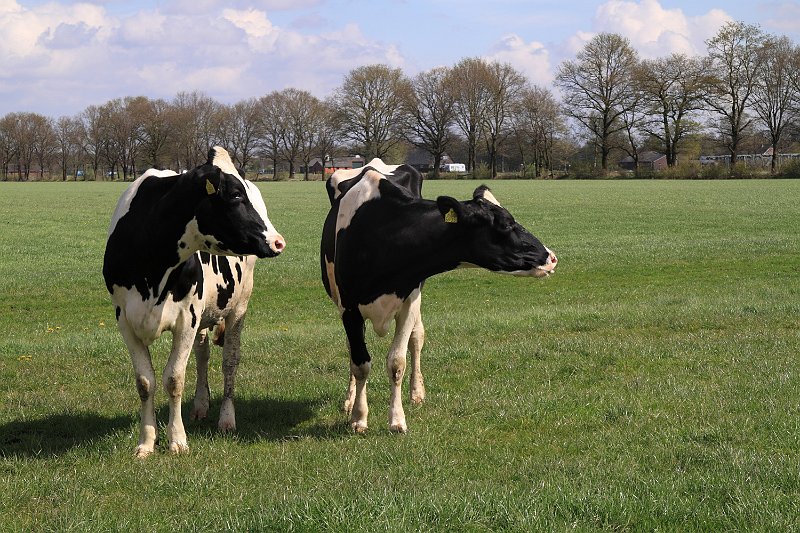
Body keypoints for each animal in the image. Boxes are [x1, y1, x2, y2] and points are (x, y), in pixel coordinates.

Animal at [101, 147, 286, 458]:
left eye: (244, 191)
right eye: (236, 194)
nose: (277, 241)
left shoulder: (185, 318)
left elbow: (174, 379)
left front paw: (177, 440)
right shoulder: (124, 318)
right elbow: (145, 381)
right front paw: (146, 443)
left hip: (238, 307)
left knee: (229, 361)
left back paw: (226, 418)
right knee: (202, 355)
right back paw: (200, 405)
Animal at [318, 159, 556, 432]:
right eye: (506, 224)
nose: (551, 256)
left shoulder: (408, 300)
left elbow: (397, 362)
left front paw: (397, 420)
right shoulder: (348, 309)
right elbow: (360, 363)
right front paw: (358, 416)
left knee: (417, 337)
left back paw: (416, 393)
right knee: (351, 350)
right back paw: (349, 399)